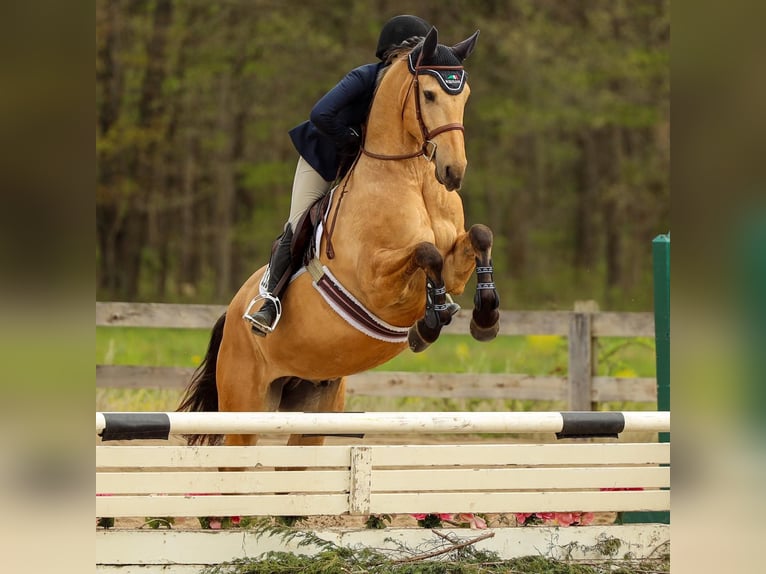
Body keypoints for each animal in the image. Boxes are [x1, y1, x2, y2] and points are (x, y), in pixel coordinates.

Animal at [180, 27, 504, 450]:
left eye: (464, 96)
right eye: (430, 95)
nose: (454, 172)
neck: (414, 178)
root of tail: (232, 312)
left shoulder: (453, 267)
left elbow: (478, 236)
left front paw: (485, 317)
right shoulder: (376, 284)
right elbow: (425, 252)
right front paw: (429, 325)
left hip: (314, 408)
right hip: (244, 409)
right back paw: (264, 313)